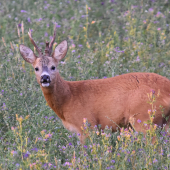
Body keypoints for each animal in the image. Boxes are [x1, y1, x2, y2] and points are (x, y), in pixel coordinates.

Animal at [19, 26, 170, 143]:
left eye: (53, 67)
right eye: (36, 68)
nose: (45, 78)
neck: (69, 97)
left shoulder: (87, 124)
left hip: (144, 118)